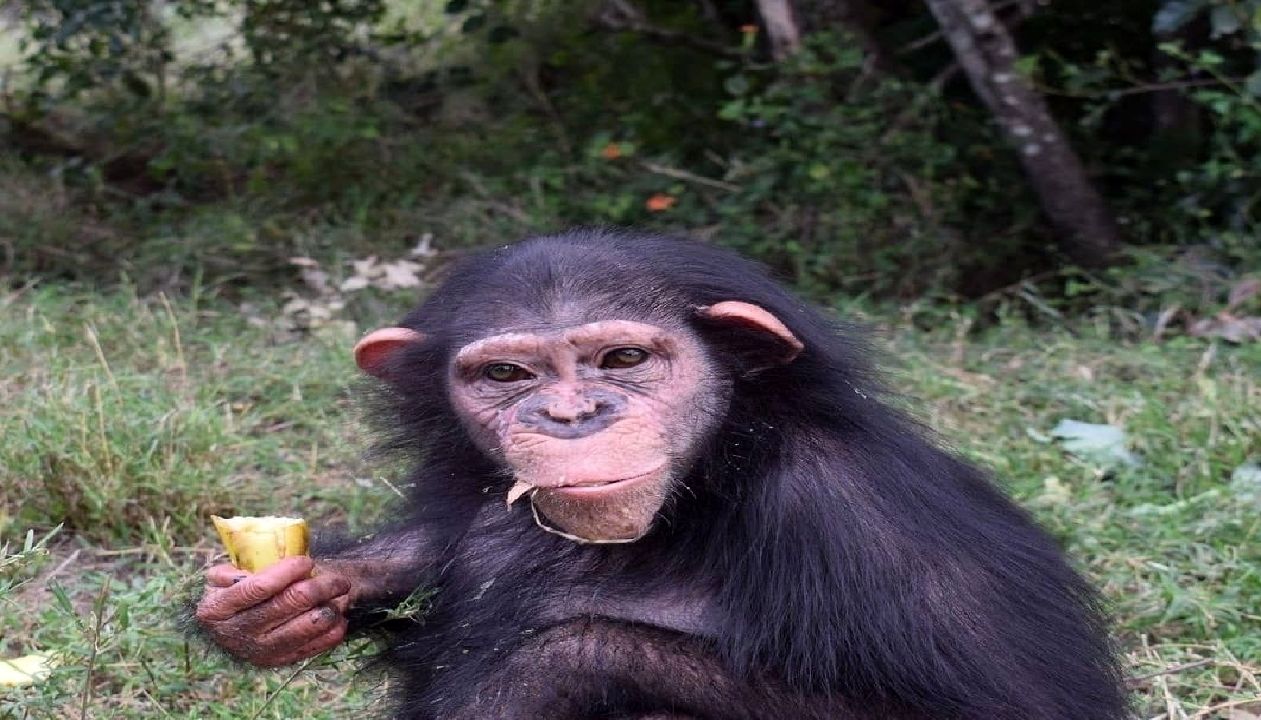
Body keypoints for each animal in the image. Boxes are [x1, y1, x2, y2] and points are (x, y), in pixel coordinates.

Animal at [199, 229, 1134, 720]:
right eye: (507, 375)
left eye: (621, 359)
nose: (570, 416)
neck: (708, 479)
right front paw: (275, 603)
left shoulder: (869, 523)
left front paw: (557, 661)